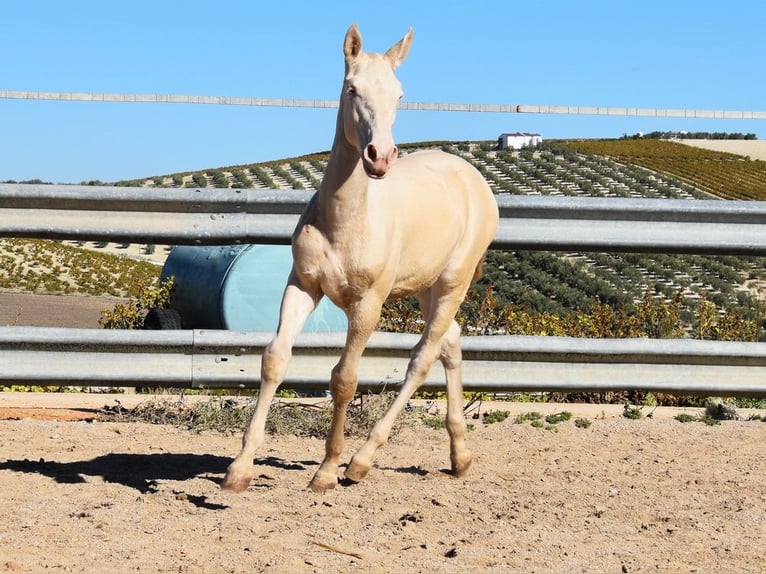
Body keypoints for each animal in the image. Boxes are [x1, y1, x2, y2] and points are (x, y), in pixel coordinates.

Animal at [222, 23, 500, 496]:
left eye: (400, 94)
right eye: (351, 88)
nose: (380, 157)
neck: (346, 221)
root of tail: (473, 179)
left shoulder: (367, 305)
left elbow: (345, 379)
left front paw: (327, 470)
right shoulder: (303, 285)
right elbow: (275, 359)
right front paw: (239, 469)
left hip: (454, 282)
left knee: (422, 357)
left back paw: (361, 461)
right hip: (427, 287)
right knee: (451, 343)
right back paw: (460, 456)